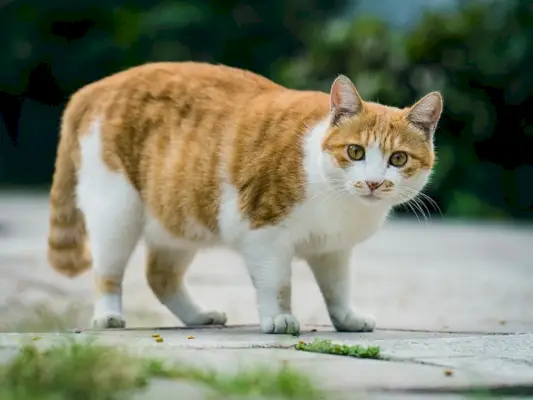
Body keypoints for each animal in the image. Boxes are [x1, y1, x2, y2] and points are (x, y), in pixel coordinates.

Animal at [48, 61, 440, 334]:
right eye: (355, 152)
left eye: (398, 159)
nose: (373, 183)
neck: (339, 200)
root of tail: (97, 86)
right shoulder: (264, 235)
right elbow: (277, 283)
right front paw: (280, 318)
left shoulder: (333, 249)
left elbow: (337, 288)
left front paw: (346, 318)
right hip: (117, 213)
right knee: (108, 273)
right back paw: (108, 315)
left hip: (179, 218)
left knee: (160, 276)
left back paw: (199, 315)